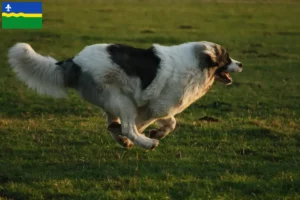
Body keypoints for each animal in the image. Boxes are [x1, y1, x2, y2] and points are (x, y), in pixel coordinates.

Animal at [8, 41, 243, 150]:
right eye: (227, 58)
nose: (240, 64)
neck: (198, 64)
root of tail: (75, 60)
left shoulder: (157, 107)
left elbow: (170, 122)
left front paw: (157, 133)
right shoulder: (154, 108)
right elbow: (149, 124)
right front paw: (149, 136)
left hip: (114, 101)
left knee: (112, 124)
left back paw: (125, 139)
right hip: (123, 101)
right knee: (127, 127)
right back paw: (146, 144)